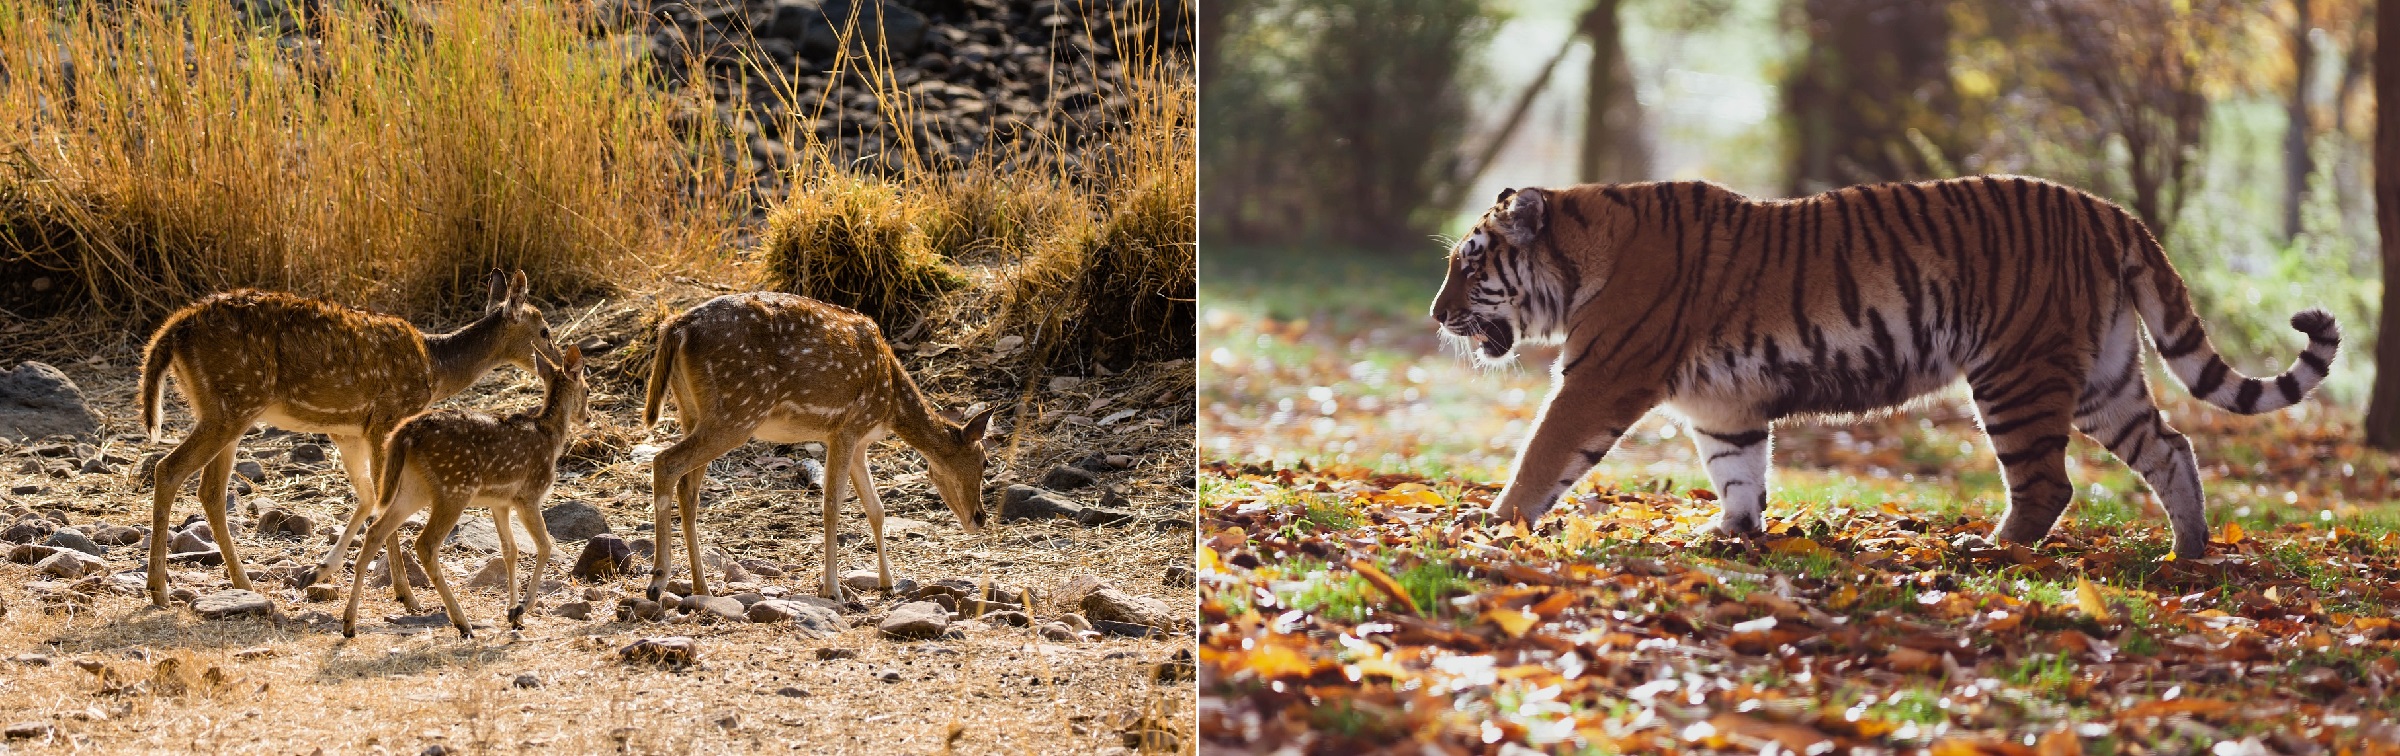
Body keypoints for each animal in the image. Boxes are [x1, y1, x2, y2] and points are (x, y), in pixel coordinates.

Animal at [144, 272, 561, 609]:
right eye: (544, 330)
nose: (559, 364)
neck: (435, 366)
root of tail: (173, 330)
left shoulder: (347, 430)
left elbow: (367, 497)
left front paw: (318, 572)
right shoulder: (388, 417)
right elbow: (383, 501)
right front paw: (407, 596)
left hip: (221, 407)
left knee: (210, 490)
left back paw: (242, 583)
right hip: (232, 404)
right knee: (168, 469)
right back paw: (160, 590)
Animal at [343, 350, 585, 638]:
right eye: (587, 387)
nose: (587, 416)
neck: (550, 437)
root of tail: (405, 432)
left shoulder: (500, 503)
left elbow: (510, 550)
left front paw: (514, 616)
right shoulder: (529, 495)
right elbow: (545, 546)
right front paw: (521, 608)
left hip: (413, 488)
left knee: (375, 532)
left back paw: (349, 624)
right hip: (454, 488)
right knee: (425, 543)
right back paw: (462, 622)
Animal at [638, 295, 993, 604]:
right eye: (985, 461)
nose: (980, 517)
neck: (891, 405)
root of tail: (675, 327)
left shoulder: (858, 442)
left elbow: (876, 509)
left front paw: (887, 583)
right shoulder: (847, 428)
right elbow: (832, 505)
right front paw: (832, 590)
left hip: (692, 411)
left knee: (688, 487)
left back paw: (701, 587)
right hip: (737, 411)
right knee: (665, 462)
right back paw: (657, 581)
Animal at [1430, 175, 2332, 559]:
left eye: (1470, 266)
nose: (1437, 317)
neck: (1583, 251)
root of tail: (2108, 210)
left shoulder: (1599, 378)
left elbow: (1542, 454)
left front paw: (1493, 523)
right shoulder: (1723, 407)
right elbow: (1738, 471)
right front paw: (1729, 533)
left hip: (2016, 372)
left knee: (2048, 484)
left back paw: (1990, 551)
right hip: (2104, 378)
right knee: (2172, 447)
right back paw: (2189, 553)